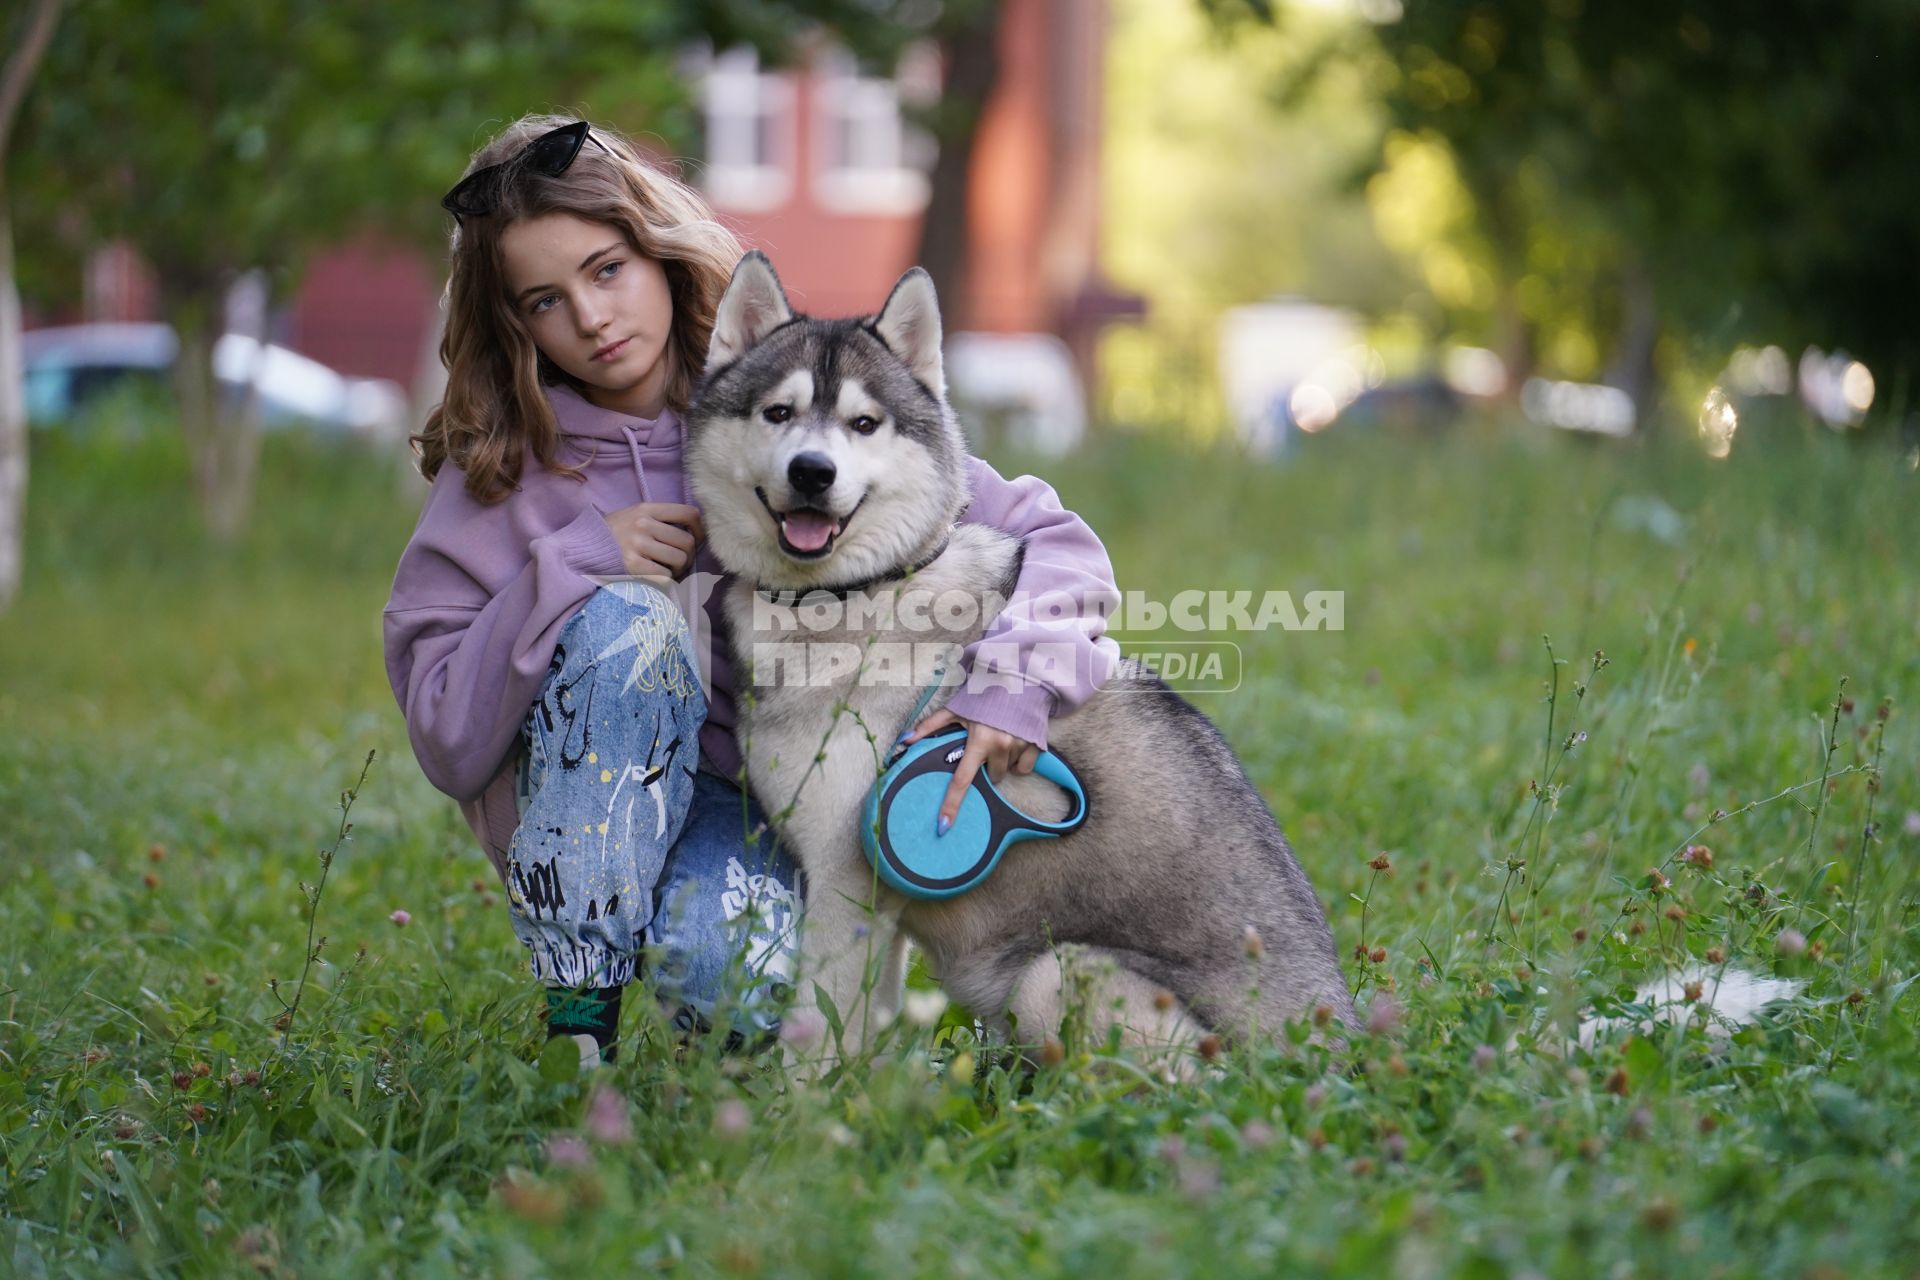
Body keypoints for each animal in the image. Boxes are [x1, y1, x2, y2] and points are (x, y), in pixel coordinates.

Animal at [687, 247, 1351, 1059]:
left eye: (864, 423)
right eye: (778, 413)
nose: (813, 471)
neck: (849, 597)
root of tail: (1344, 1050)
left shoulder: (845, 886)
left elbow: (813, 1037)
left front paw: (795, 1094)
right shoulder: (878, 905)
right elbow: (868, 1031)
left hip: (1054, 975)